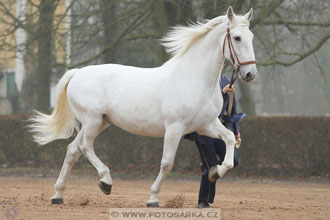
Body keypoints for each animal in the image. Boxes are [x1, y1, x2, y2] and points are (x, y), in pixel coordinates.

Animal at [29, 6, 258, 206]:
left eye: (251, 37)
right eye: (237, 38)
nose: (250, 74)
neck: (195, 79)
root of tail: (78, 72)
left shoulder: (206, 126)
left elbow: (230, 140)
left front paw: (215, 172)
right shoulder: (175, 128)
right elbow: (167, 163)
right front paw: (153, 198)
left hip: (100, 122)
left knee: (72, 150)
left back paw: (58, 195)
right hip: (92, 120)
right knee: (85, 147)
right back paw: (105, 181)